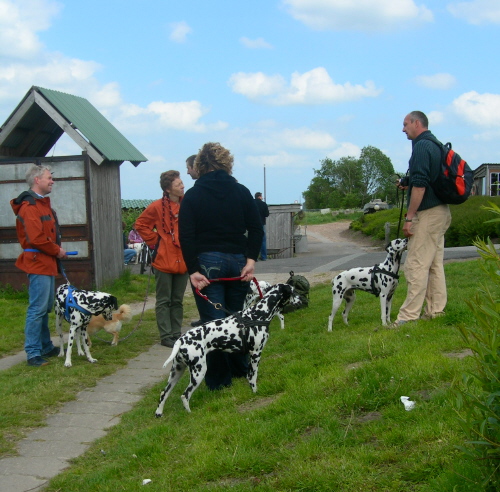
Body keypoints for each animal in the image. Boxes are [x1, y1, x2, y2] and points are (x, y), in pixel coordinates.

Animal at [155, 283, 302, 415]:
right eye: (294, 291)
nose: (302, 299)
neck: (259, 314)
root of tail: (181, 339)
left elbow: (249, 377)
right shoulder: (256, 354)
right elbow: (253, 377)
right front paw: (255, 392)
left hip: (176, 372)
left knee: (163, 393)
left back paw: (159, 412)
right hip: (199, 371)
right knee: (185, 395)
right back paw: (190, 413)